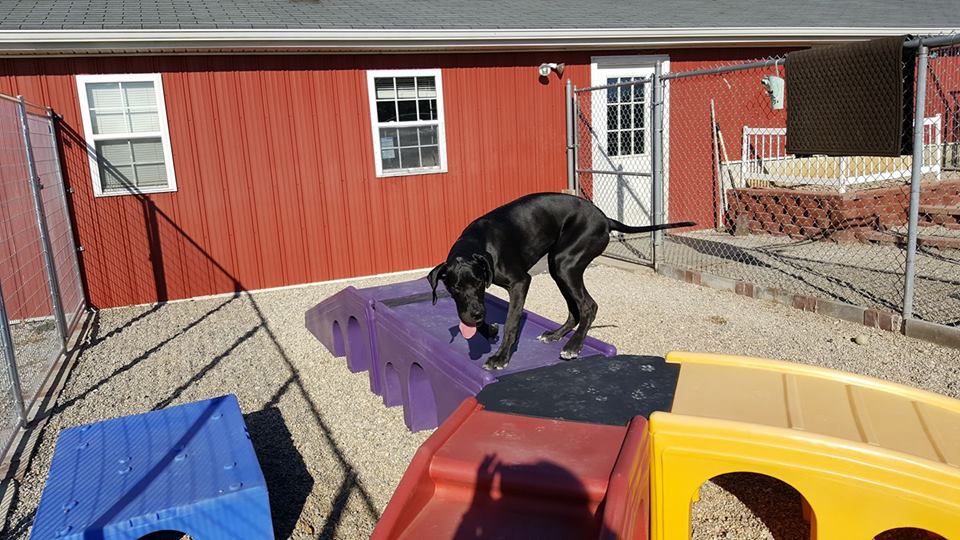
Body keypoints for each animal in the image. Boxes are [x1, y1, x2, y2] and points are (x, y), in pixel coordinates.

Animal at [426, 192, 688, 370]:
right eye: (455, 288)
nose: (476, 315)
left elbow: (511, 323)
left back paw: (573, 346)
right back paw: (556, 335)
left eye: (479, 284)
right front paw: (487, 328)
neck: (478, 242)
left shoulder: (519, 282)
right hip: (559, 268)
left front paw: (500, 357)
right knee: (574, 309)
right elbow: (474, 317)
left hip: (565, 263)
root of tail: (605, 219)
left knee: (588, 306)